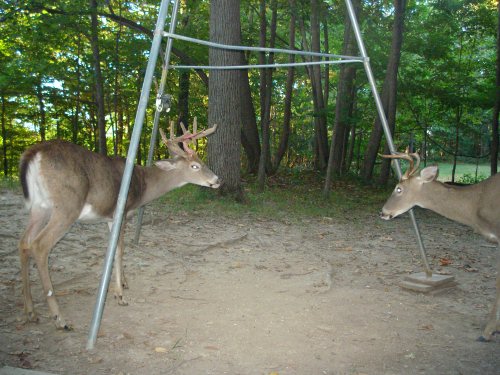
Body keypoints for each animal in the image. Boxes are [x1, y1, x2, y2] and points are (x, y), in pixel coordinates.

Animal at [18, 119, 218, 330]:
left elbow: (113, 249)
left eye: (202, 161)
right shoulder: (122, 212)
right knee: (39, 246)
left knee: (23, 242)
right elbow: (120, 249)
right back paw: (60, 319)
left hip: (39, 207)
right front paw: (120, 295)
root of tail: (34, 154)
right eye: (195, 166)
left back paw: (30, 311)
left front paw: (123, 283)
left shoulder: (110, 218)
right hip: (67, 206)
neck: (143, 185)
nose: (217, 180)